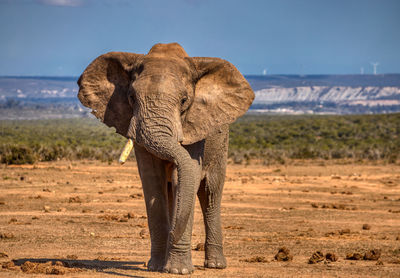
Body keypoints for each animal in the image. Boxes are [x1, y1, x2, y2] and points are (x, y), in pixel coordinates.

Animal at [76, 43, 255, 274]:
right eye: (132, 98)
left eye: (184, 100)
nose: (173, 235)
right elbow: (153, 181)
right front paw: (156, 267)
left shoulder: (193, 125)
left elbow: (187, 177)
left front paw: (179, 271)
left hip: (221, 142)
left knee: (210, 193)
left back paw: (215, 265)